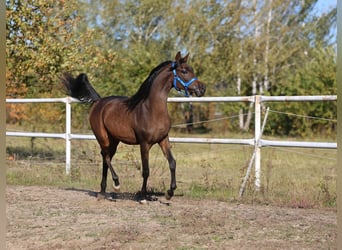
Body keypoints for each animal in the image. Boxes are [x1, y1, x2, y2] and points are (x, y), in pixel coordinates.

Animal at [61, 51, 206, 200]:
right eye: (184, 71)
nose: (202, 88)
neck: (151, 110)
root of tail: (98, 101)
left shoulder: (163, 139)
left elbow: (172, 163)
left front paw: (169, 193)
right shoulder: (144, 143)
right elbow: (146, 170)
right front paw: (143, 197)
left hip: (114, 140)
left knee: (106, 158)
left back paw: (102, 191)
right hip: (102, 137)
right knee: (105, 156)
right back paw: (116, 184)